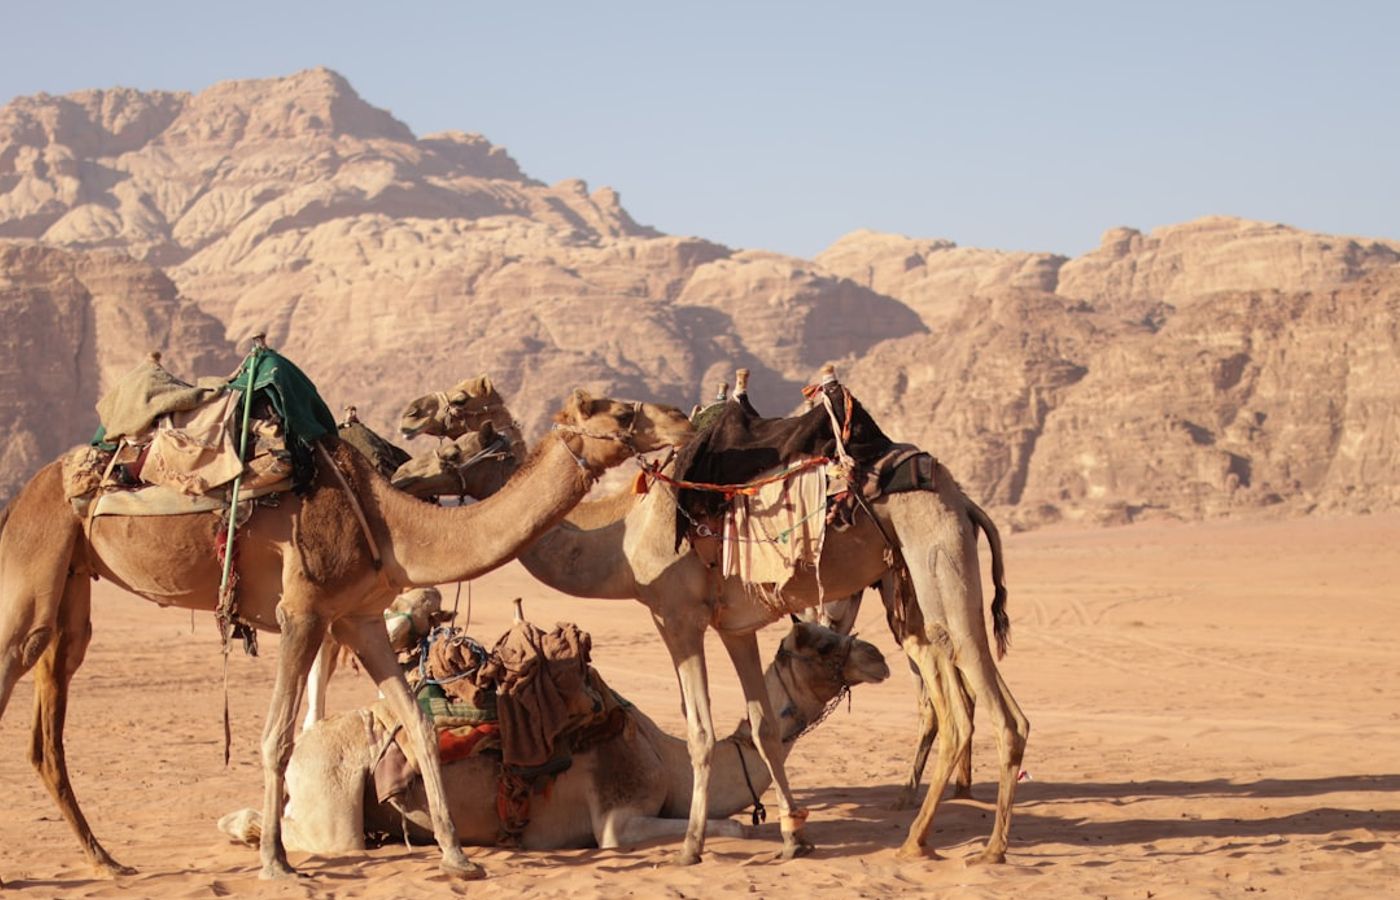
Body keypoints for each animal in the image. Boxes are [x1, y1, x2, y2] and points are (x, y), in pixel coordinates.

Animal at [0, 385, 693, 884]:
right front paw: (277, 865)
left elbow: (416, 724)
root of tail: (27, 490)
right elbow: (278, 735)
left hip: (75, 585)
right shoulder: (303, 608)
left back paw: (107, 860)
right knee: (19, 656)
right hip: (36, 562)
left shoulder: (359, 617)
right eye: (620, 411)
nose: (681, 417)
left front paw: (459, 859)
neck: (390, 523)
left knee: (52, 705)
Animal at [220, 621, 890, 853]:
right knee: (323, 837)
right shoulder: (617, 818)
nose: (879, 657)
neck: (664, 755)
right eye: (821, 643)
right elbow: (730, 828)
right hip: (332, 792)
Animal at [386, 376, 1029, 866]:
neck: (620, 538)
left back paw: (979, 847)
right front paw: (795, 838)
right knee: (975, 694)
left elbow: (698, 732)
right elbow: (762, 727)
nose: (404, 433)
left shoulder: (676, 616)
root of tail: (960, 495)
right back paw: (930, 835)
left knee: (979, 702)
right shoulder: (736, 627)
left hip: (936, 554)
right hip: (912, 585)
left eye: (460, 413)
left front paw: (691, 847)